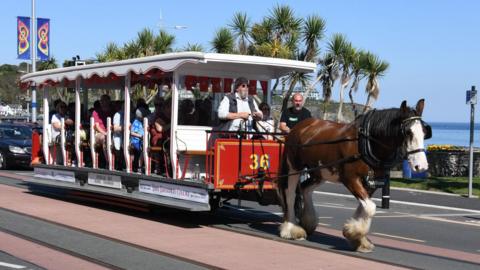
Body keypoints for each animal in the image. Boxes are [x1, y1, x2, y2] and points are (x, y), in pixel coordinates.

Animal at [278, 99, 432, 253]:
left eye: (425, 132)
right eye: (408, 132)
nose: (422, 166)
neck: (365, 143)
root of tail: (301, 126)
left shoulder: (372, 182)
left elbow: (365, 207)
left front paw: (357, 237)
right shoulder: (350, 179)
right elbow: (370, 208)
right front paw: (355, 234)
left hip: (320, 172)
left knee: (305, 188)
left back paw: (308, 222)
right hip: (293, 167)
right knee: (290, 194)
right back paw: (291, 228)